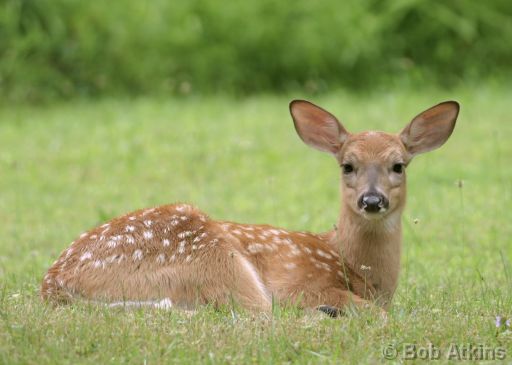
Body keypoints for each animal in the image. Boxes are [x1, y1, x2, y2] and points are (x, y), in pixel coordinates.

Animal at [41, 98, 460, 314]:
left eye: (398, 165)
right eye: (348, 165)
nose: (372, 200)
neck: (349, 262)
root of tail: (53, 285)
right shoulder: (297, 282)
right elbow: (372, 311)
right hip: (215, 258)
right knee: (259, 316)